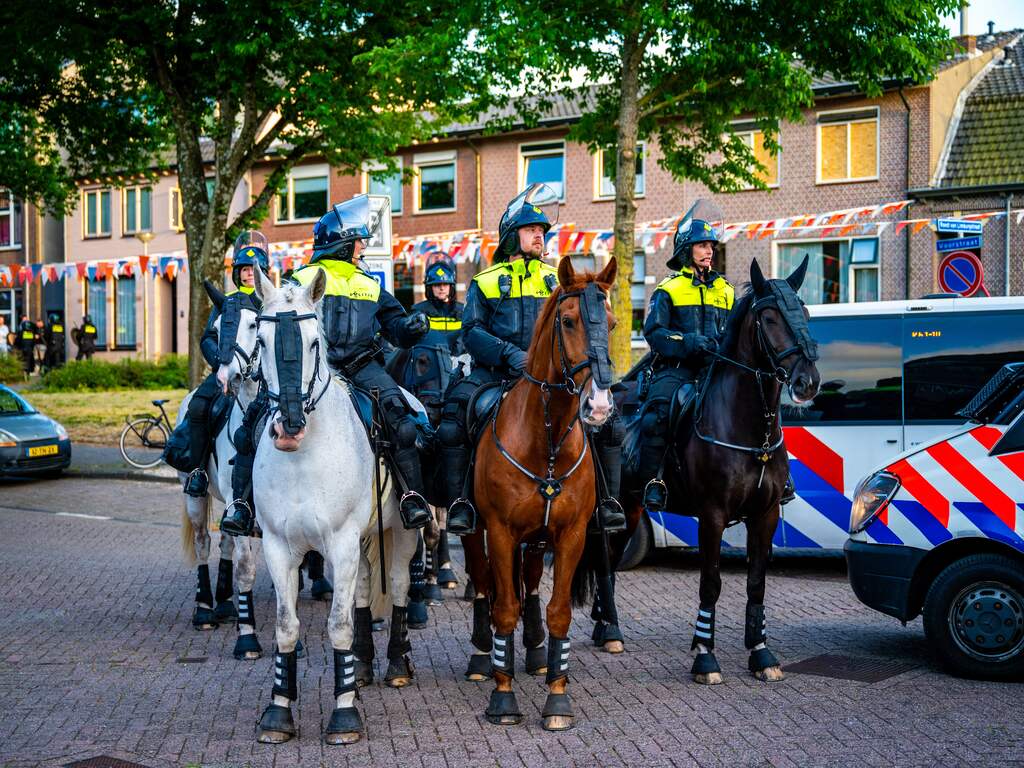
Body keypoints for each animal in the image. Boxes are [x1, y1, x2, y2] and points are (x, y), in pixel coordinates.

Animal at [249, 266, 421, 745]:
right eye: (261, 340)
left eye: (313, 341)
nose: (289, 427)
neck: (303, 457)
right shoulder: (278, 546)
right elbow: (287, 627)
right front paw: (279, 710)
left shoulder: (341, 542)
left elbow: (337, 624)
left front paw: (344, 715)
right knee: (362, 591)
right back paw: (359, 669)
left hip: (401, 533)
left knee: (398, 587)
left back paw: (396, 664)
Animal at [460, 256, 617, 731]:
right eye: (567, 321)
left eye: (614, 323)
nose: (599, 406)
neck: (544, 440)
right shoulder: (500, 532)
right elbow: (503, 607)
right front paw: (503, 693)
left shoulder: (570, 535)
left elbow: (558, 610)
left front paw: (557, 696)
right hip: (474, 531)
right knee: (484, 586)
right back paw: (483, 656)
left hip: (535, 540)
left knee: (528, 584)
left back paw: (533, 651)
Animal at [579, 256, 820, 684]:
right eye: (770, 317)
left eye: (805, 313)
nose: (808, 382)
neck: (748, 430)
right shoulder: (712, 515)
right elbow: (710, 583)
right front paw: (705, 656)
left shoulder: (765, 515)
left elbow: (756, 584)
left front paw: (761, 653)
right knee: (603, 560)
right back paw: (610, 630)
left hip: (633, 508)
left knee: (609, 558)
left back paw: (605, 627)